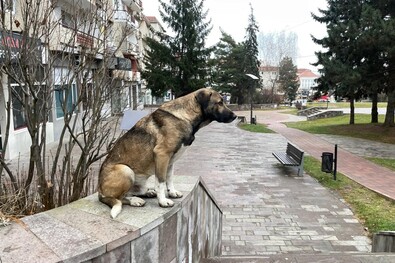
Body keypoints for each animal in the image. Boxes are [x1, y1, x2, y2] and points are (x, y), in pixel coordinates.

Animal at [98, 87, 237, 218]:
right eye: (219, 102)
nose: (235, 116)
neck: (185, 116)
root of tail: (100, 191)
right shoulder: (162, 154)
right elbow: (161, 181)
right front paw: (163, 201)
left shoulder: (170, 161)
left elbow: (169, 178)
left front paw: (172, 192)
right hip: (125, 170)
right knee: (118, 199)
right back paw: (135, 200)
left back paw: (147, 192)